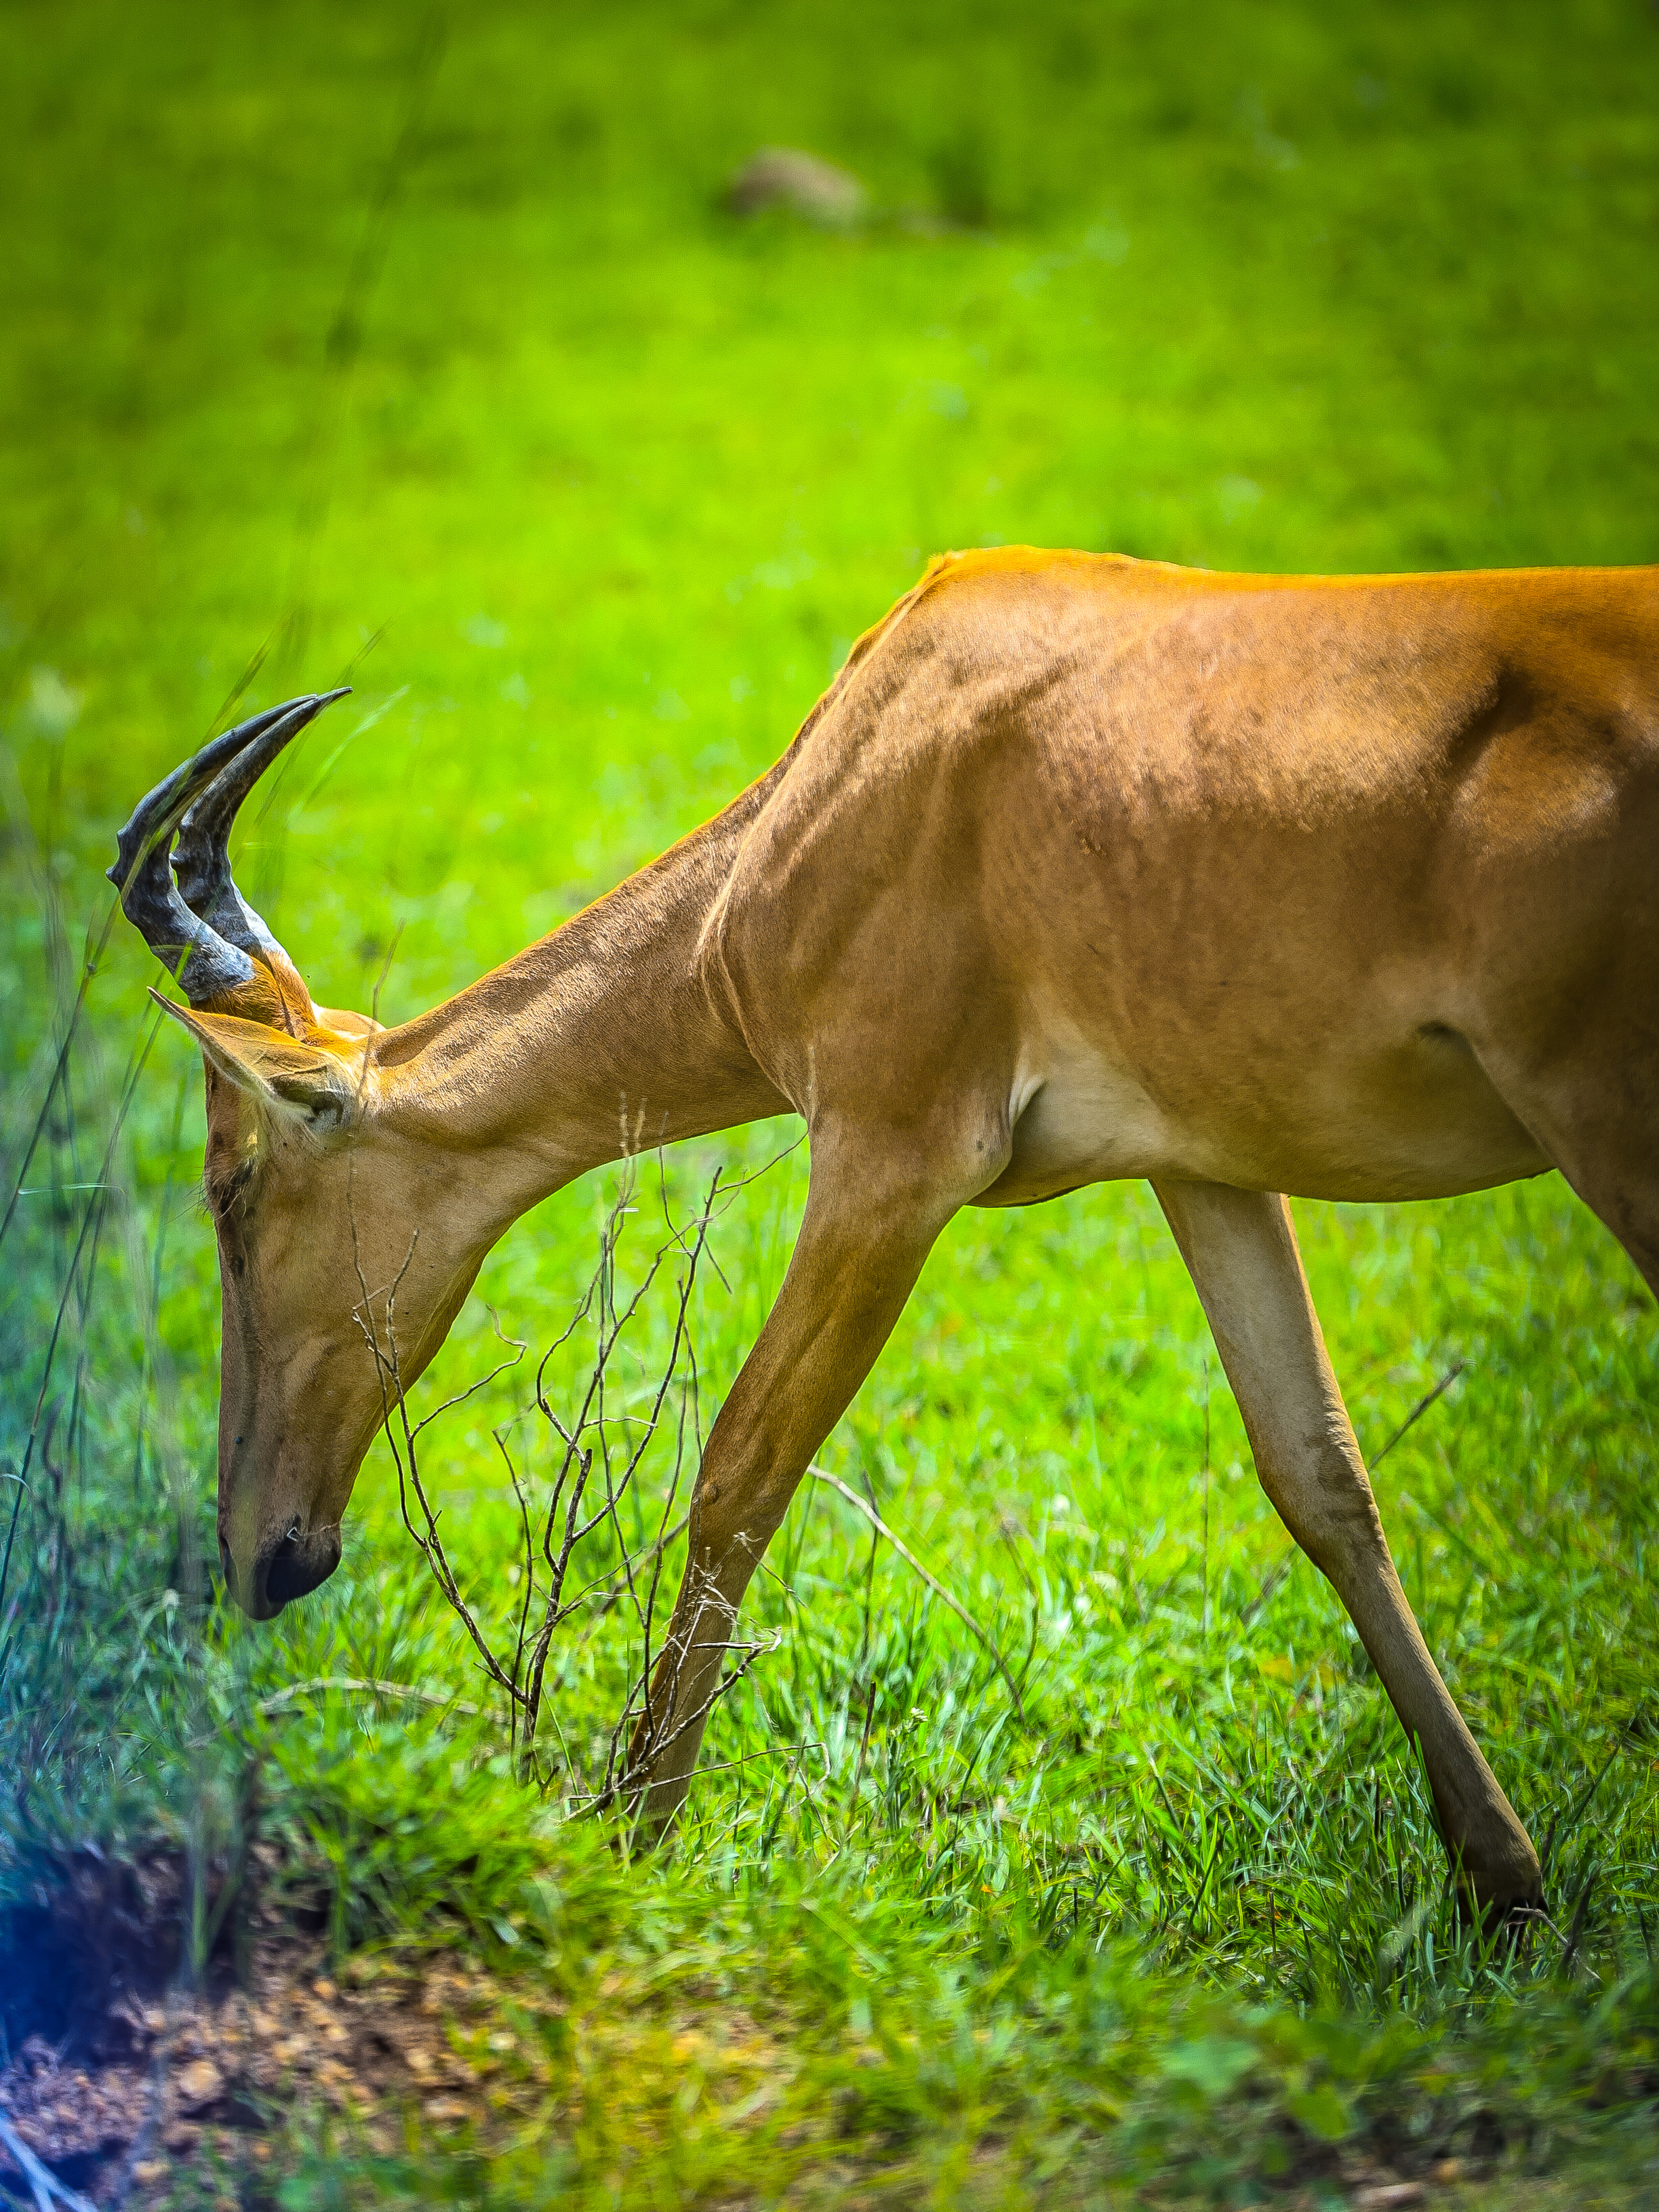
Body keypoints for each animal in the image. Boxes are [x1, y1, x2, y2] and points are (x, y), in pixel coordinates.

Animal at [111, 547, 1659, 1917]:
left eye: (229, 1186)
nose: (261, 1549)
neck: (876, 747)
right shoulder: (1207, 1163)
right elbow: (1318, 1471)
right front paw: (1506, 1881)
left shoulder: (888, 1156)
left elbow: (738, 1469)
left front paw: (631, 1833)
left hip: (1607, 1125)